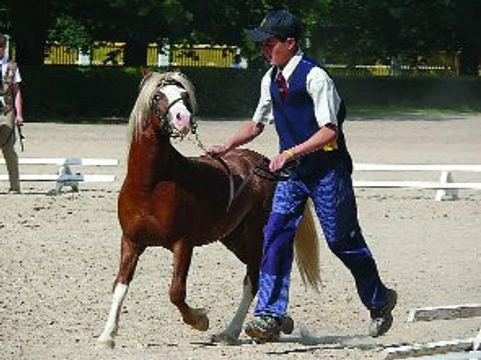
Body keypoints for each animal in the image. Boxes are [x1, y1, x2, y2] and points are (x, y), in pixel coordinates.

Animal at [97, 71, 320, 348]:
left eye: (183, 95)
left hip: (256, 233)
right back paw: (276, 324)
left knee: (253, 277)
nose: (183, 120)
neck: (150, 185)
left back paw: (231, 333)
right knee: (258, 271)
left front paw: (200, 320)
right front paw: (107, 336)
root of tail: (266, 164)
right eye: (158, 96)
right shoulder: (131, 241)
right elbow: (120, 285)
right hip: (234, 238)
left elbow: (176, 292)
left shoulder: (183, 243)